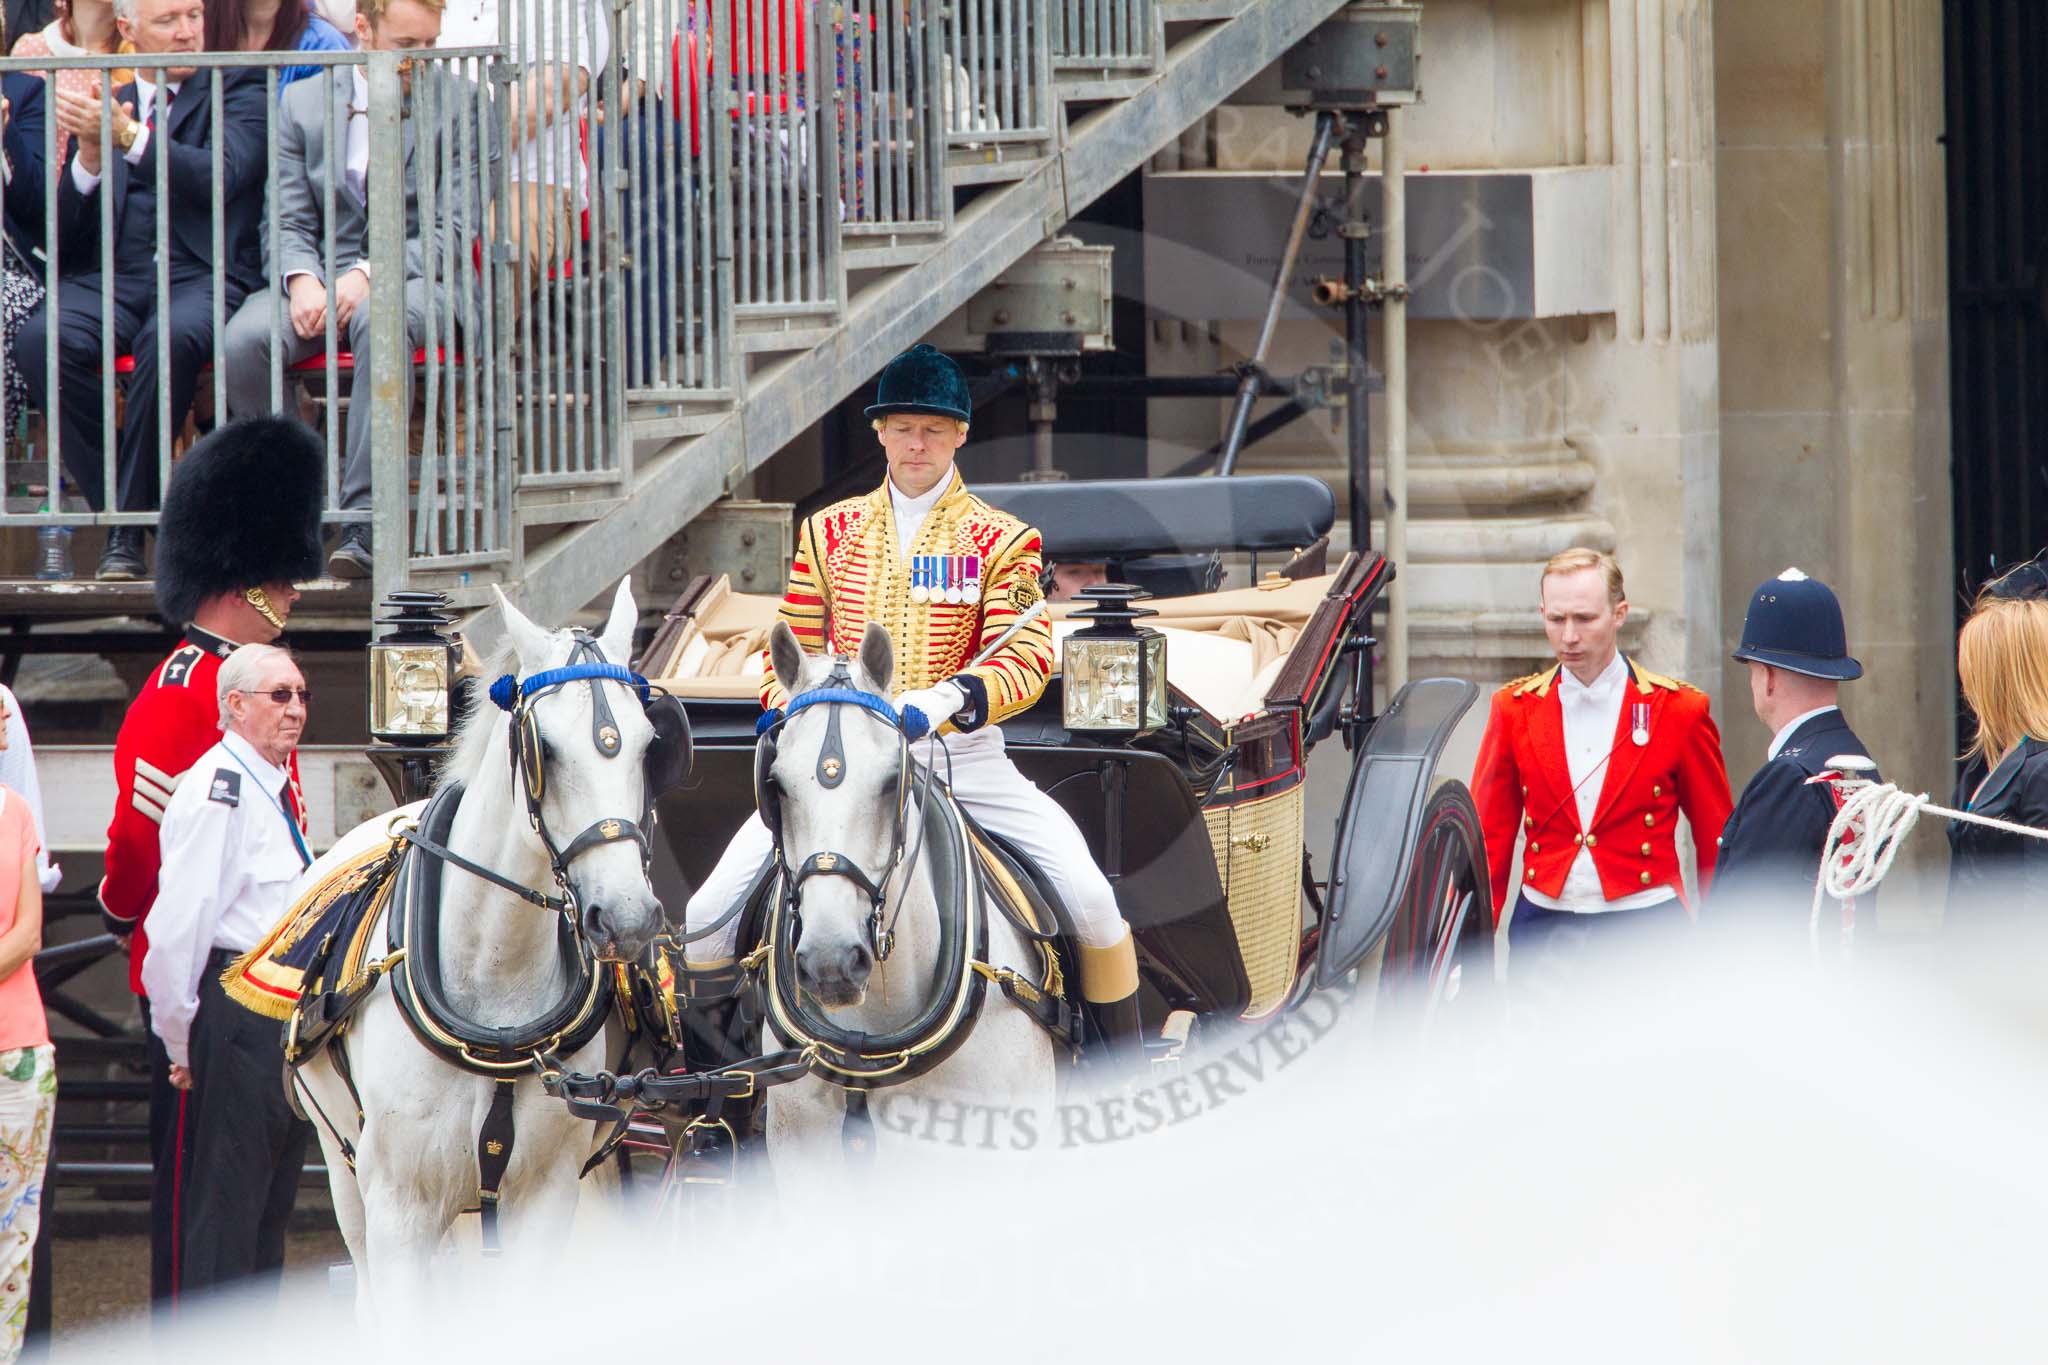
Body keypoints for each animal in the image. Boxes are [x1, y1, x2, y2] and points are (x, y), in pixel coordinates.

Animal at [294, 581, 671, 1309]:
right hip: (342, 1168)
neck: (493, 979)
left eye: (648, 746)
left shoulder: (547, 1196)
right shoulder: (399, 1205)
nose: (628, 917)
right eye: (545, 748)